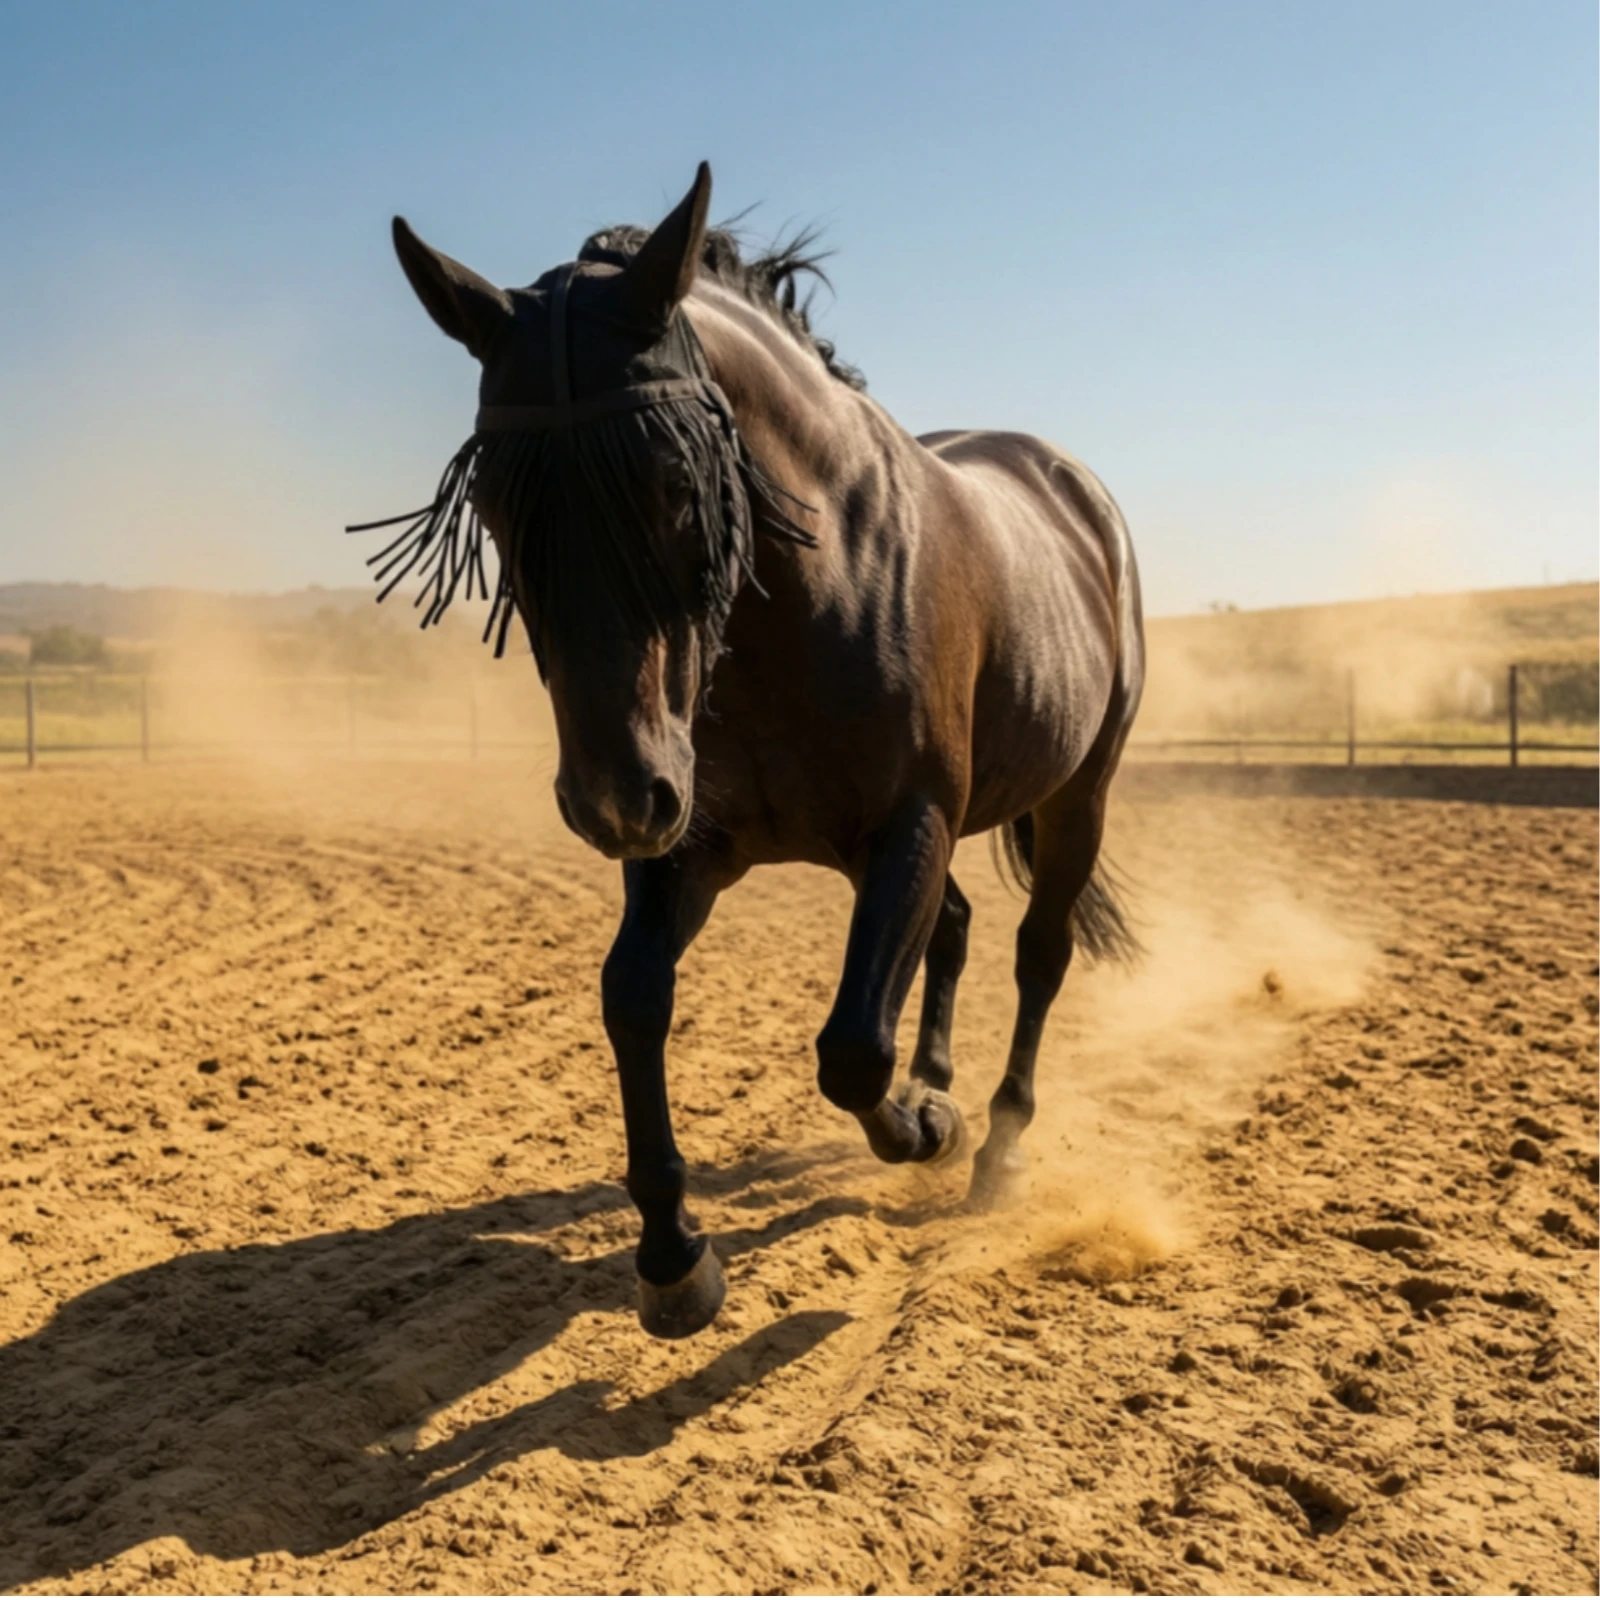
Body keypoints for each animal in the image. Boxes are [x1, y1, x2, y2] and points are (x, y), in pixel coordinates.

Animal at [355, 162, 1145, 1339]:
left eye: (676, 486)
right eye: (493, 501)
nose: (606, 800)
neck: (805, 607)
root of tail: (1068, 482)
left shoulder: (903, 823)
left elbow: (851, 1051)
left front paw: (922, 1129)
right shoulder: (691, 837)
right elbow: (633, 997)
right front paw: (673, 1254)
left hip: (1077, 795)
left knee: (1036, 953)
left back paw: (994, 1145)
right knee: (955, 929)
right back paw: (941, 1085)